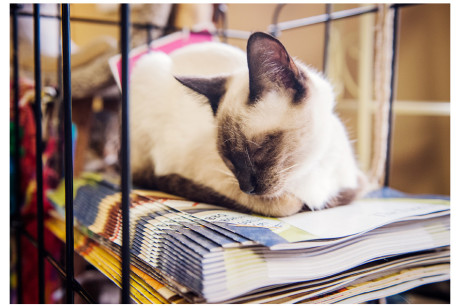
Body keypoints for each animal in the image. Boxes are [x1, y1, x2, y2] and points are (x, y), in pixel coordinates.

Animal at [129, 31, 366, 218]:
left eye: (260, 149)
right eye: (227, 159)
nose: (247, 188)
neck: (308, 169)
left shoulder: (358, 181)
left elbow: (351, 192)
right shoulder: (214, 179)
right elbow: (287, 205)